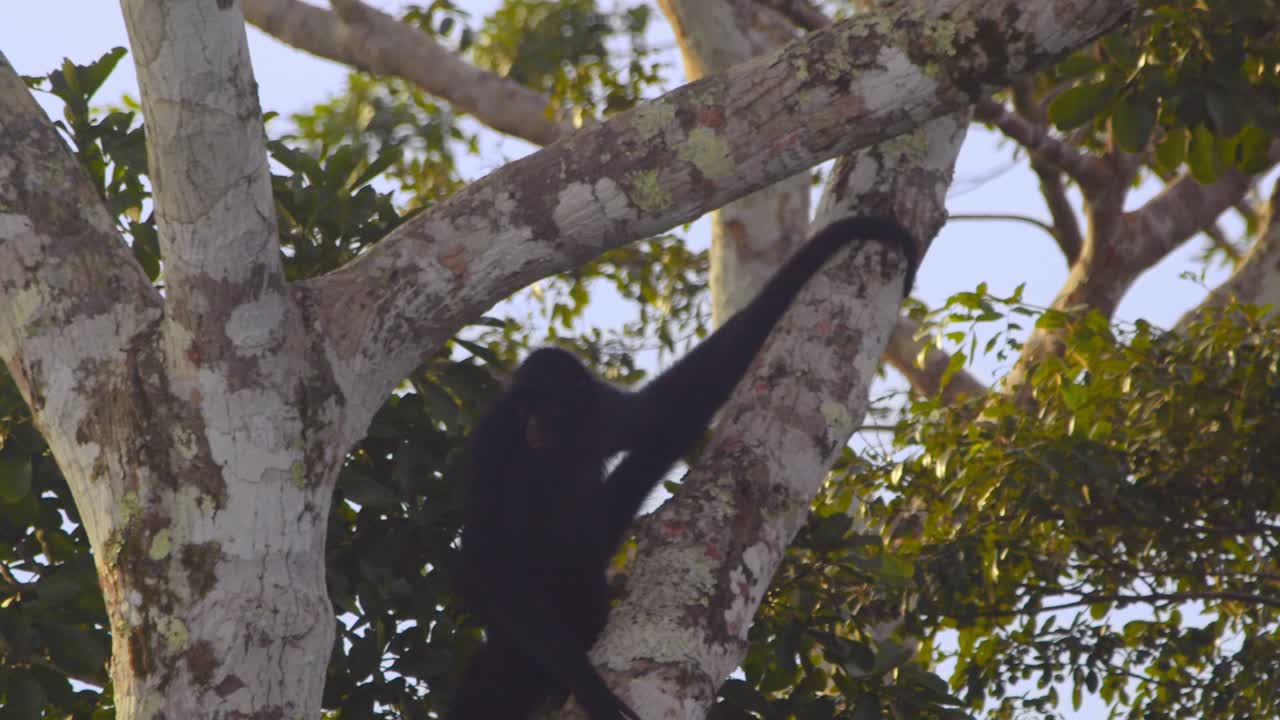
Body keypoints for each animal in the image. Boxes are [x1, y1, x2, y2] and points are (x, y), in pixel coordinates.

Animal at [450, 215, 918, 719]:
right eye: (524, 408)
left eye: (545, 406)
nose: (532, 425)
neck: (555, 445)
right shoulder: (497, 439)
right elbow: (486, 555)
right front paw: (590, 686)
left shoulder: (601, 412)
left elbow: (669, 404)